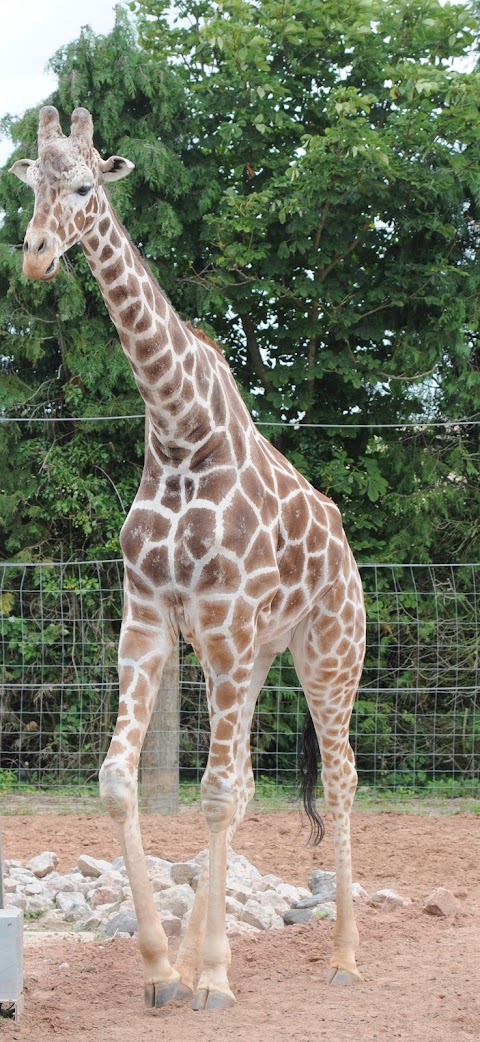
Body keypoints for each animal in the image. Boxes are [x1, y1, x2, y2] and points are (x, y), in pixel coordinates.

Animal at [13, 112, 366, 1008]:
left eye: (85, 186)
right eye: (28, 186)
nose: (36, 255)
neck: (177, 428)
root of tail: (347, 550)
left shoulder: (226, 619)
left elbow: (211, 793)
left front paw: (208, 974)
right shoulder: (150, 618)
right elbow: (120, 780)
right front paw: (162, 967)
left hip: (326, 653)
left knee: (339, 780)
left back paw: (345, 959)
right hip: (246, 653)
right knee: (245, 783)